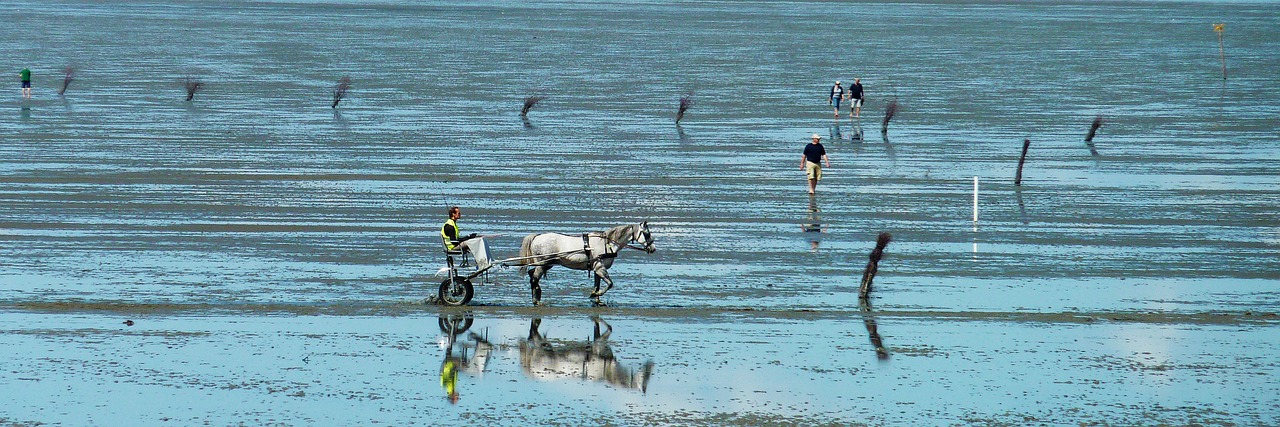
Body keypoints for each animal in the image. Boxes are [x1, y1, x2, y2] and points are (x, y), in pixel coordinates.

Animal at [517, 222, 655, 305]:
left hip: (547, 264)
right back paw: (536, 300)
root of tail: (537, 237)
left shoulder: (596, 268)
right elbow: (610, 284)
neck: (608, 244)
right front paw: (595, 294)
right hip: (543, 263)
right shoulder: (599, 267)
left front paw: (597, 300)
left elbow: (598, 284)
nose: (653, 249)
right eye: (647, 233)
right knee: (534, 279)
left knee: (532, 274)